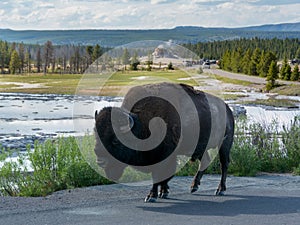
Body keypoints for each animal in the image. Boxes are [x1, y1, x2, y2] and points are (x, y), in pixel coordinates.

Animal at [94, 82, 234, 202]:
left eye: (115, 140)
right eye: (96, 136)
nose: (100, 161)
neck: (141, 124)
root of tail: (227, 109)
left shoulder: (163, 157)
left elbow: (159, 176)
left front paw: (152, 196)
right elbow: (164, 177)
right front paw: (163, 192)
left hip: (224, 145)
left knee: (224, 164)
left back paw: (220, 190)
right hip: (199, 148)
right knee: (205, 161)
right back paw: (194, 186)